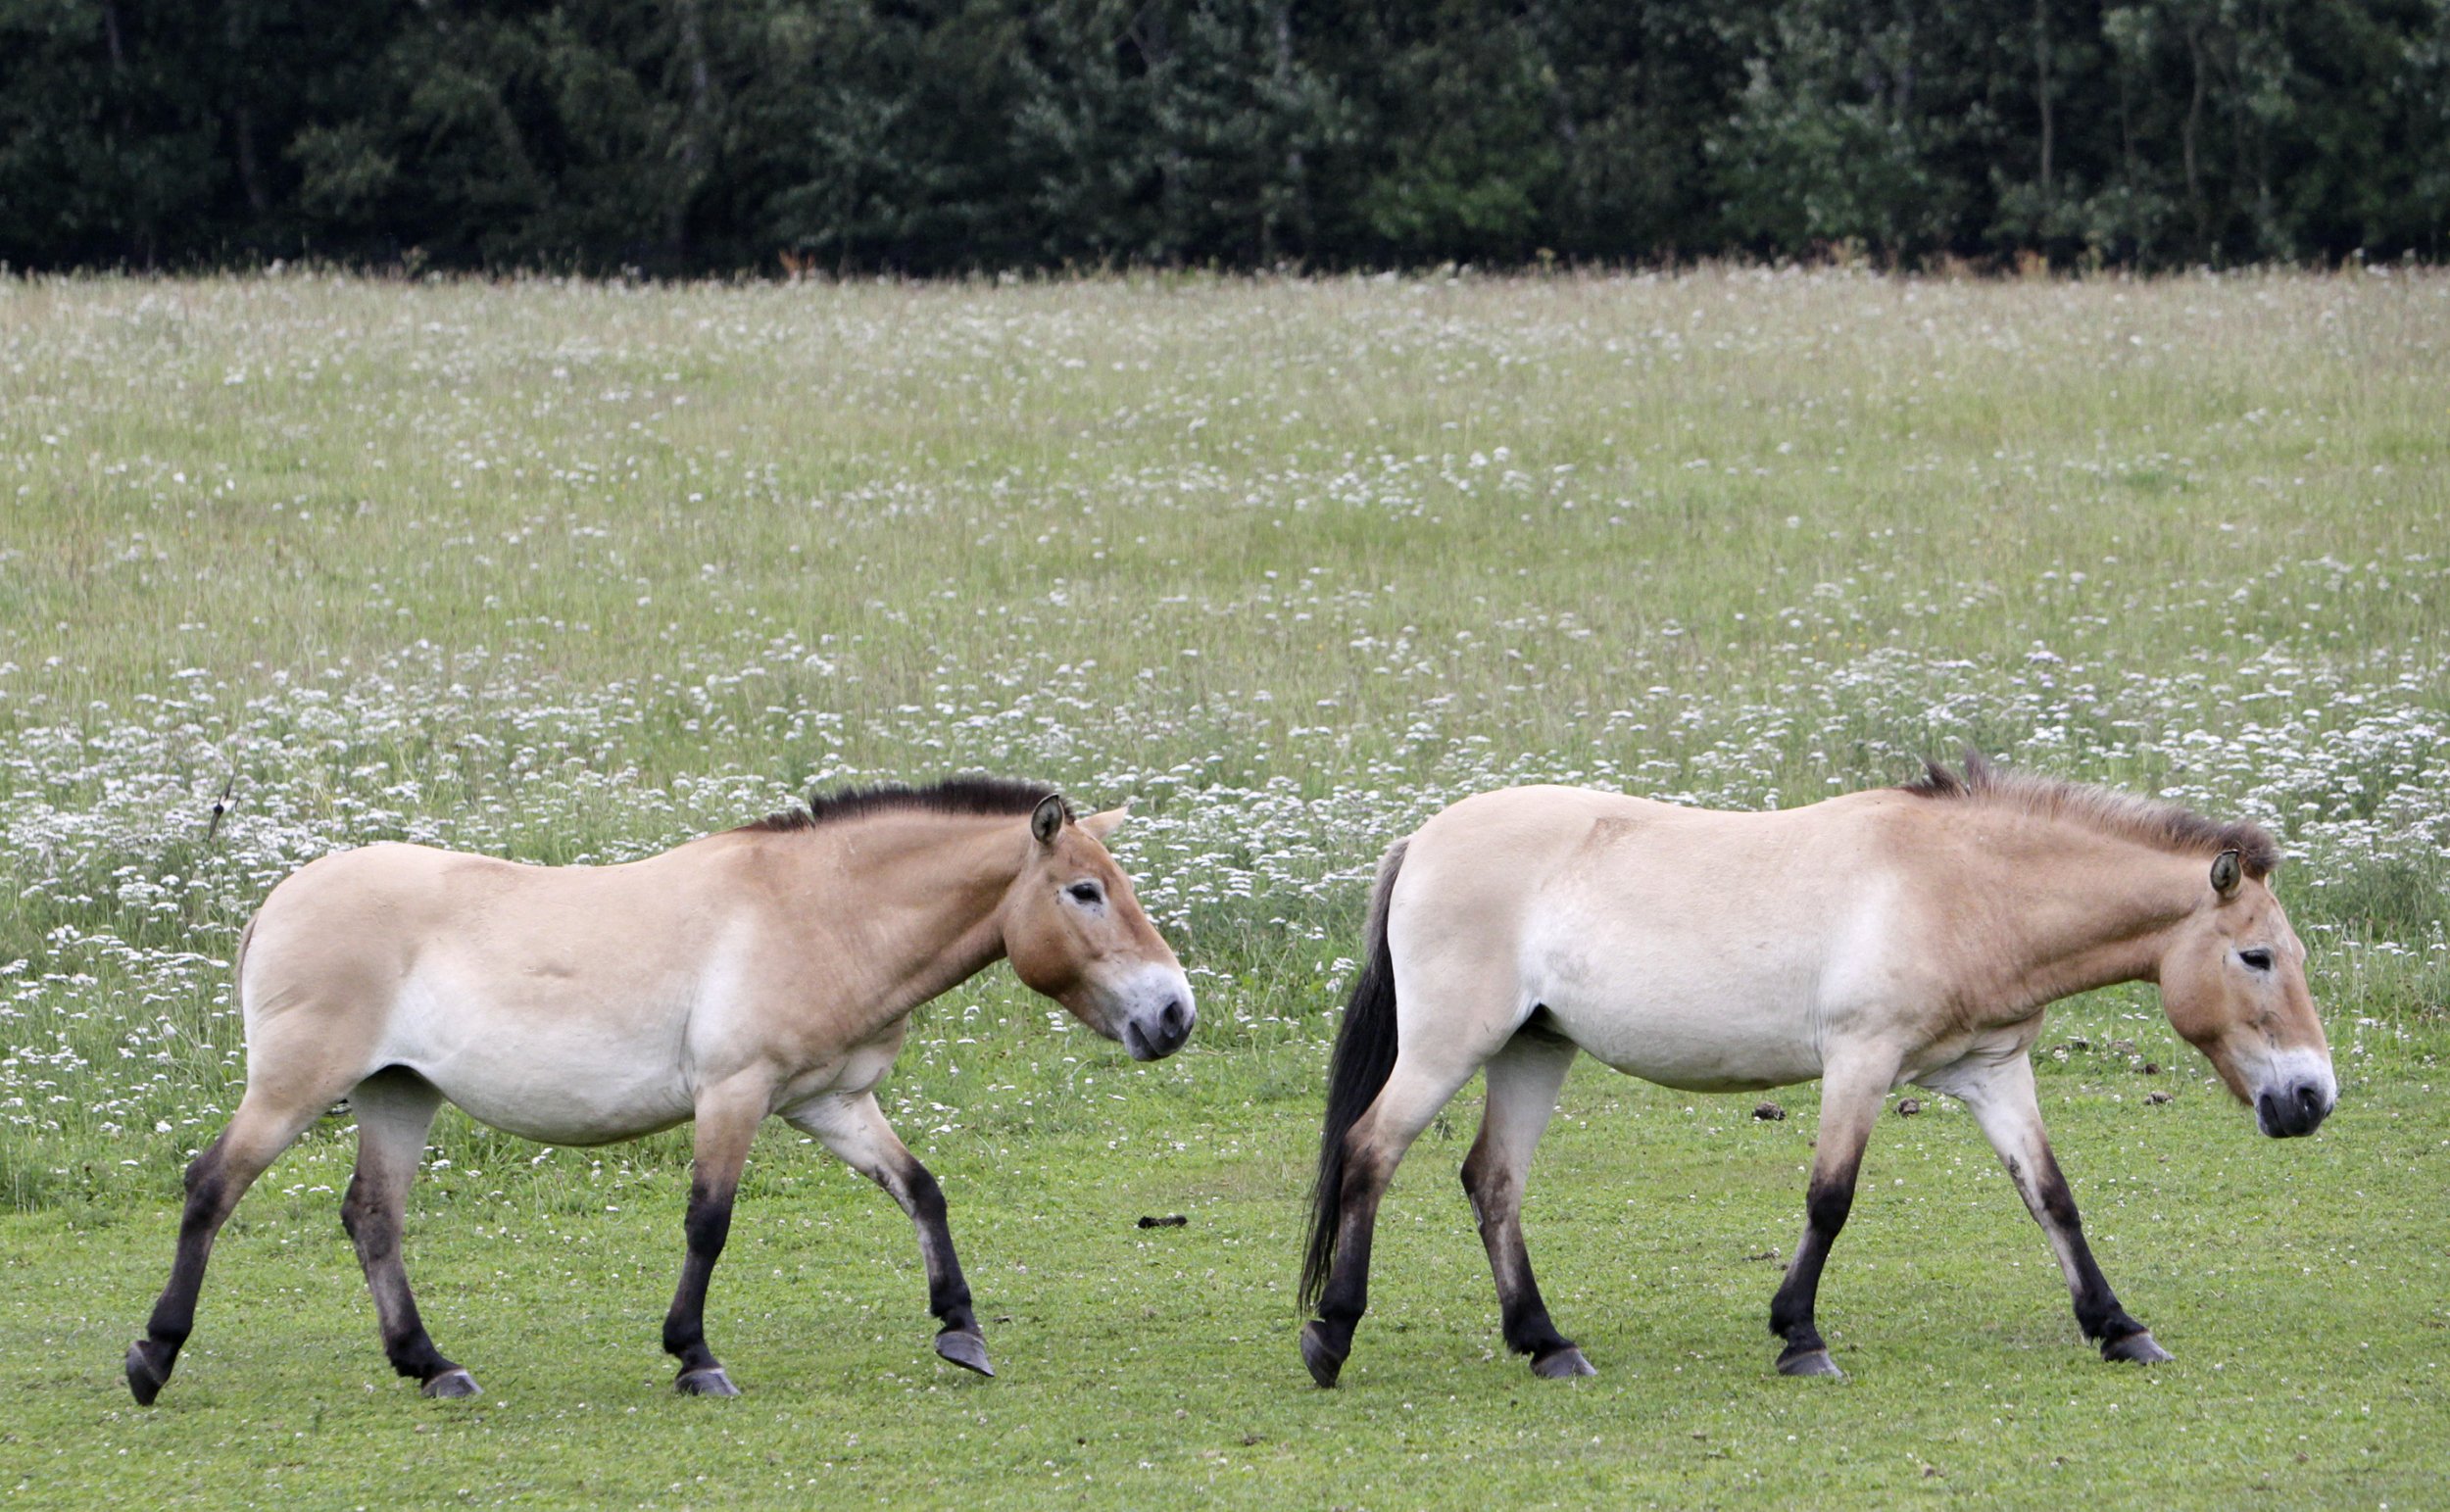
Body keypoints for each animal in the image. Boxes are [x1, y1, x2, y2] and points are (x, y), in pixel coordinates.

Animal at [126, 779, 1196, 1401]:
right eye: (1085, 891)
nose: (1174, 1013)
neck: (815, 910)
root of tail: (278, 899)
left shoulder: (828, 1102)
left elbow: (920, 1188)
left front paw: (960, 1327)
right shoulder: (736, 1092)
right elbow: (708, 1222)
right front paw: (695, 1356)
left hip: (397, 1093)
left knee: (372, 1218)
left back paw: (431, 1365)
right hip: (296, 1088)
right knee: (211, 1186)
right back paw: (154, 1358)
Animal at [1303, 759, 2332, 1382]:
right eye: (2256, 958)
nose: (2311, 1097)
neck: (1961, 887)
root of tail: (1423, 840)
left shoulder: (1994, 1071)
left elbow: (2052, 1197)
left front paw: (2119, 1326)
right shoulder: (1860, 1060)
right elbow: (1830, 1198)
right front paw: (1799, 1336)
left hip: (1533, 1048)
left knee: (1493, 1180)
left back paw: (1547, 1343)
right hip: (1450, 1046)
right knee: (1370, 1151)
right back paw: (1332, 1334)